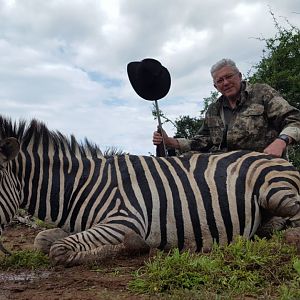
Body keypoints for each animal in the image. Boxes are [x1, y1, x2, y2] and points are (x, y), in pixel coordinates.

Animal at [0, 113, 300, 266]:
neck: (82, 186)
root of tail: (278, 157)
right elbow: (43, 241)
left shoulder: (124, 220)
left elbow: (59, 250)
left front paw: (136, 246)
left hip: (276, 193)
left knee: (294, 222)